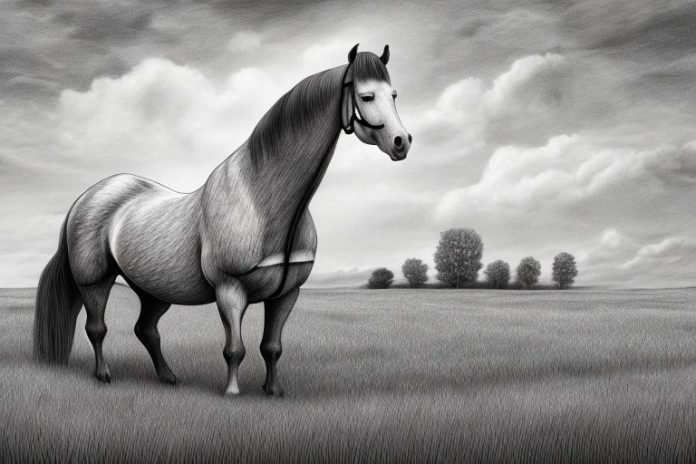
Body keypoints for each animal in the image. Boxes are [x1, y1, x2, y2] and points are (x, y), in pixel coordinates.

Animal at [33, 44, 412, 396]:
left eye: (393, 94)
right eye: (366, 95)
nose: (402, 142)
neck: (261, 199)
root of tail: (86, 197)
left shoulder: (286, 294)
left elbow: (272, 347)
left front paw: (274, 390)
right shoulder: (230, 290)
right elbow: (235, 349)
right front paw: (231, 392)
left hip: (154, 289)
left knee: (147, 330)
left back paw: (168, 377)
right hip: (94, 281)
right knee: (97, 328)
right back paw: (104, 375)